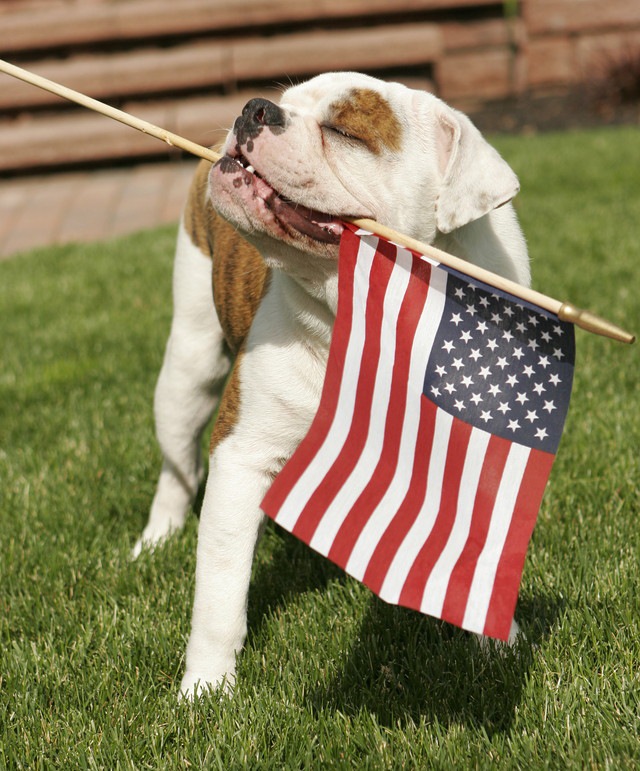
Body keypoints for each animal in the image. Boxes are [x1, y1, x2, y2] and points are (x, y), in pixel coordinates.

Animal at [134, 74, 528, 700]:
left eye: (344, 131)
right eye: (285, 100)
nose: (256, 108)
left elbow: (486, 555)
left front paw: (497, 639)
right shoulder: (242, 456)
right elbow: (220, 590)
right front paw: (207, 687)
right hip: (187, 369)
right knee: (178, 466)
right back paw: (156, 538)